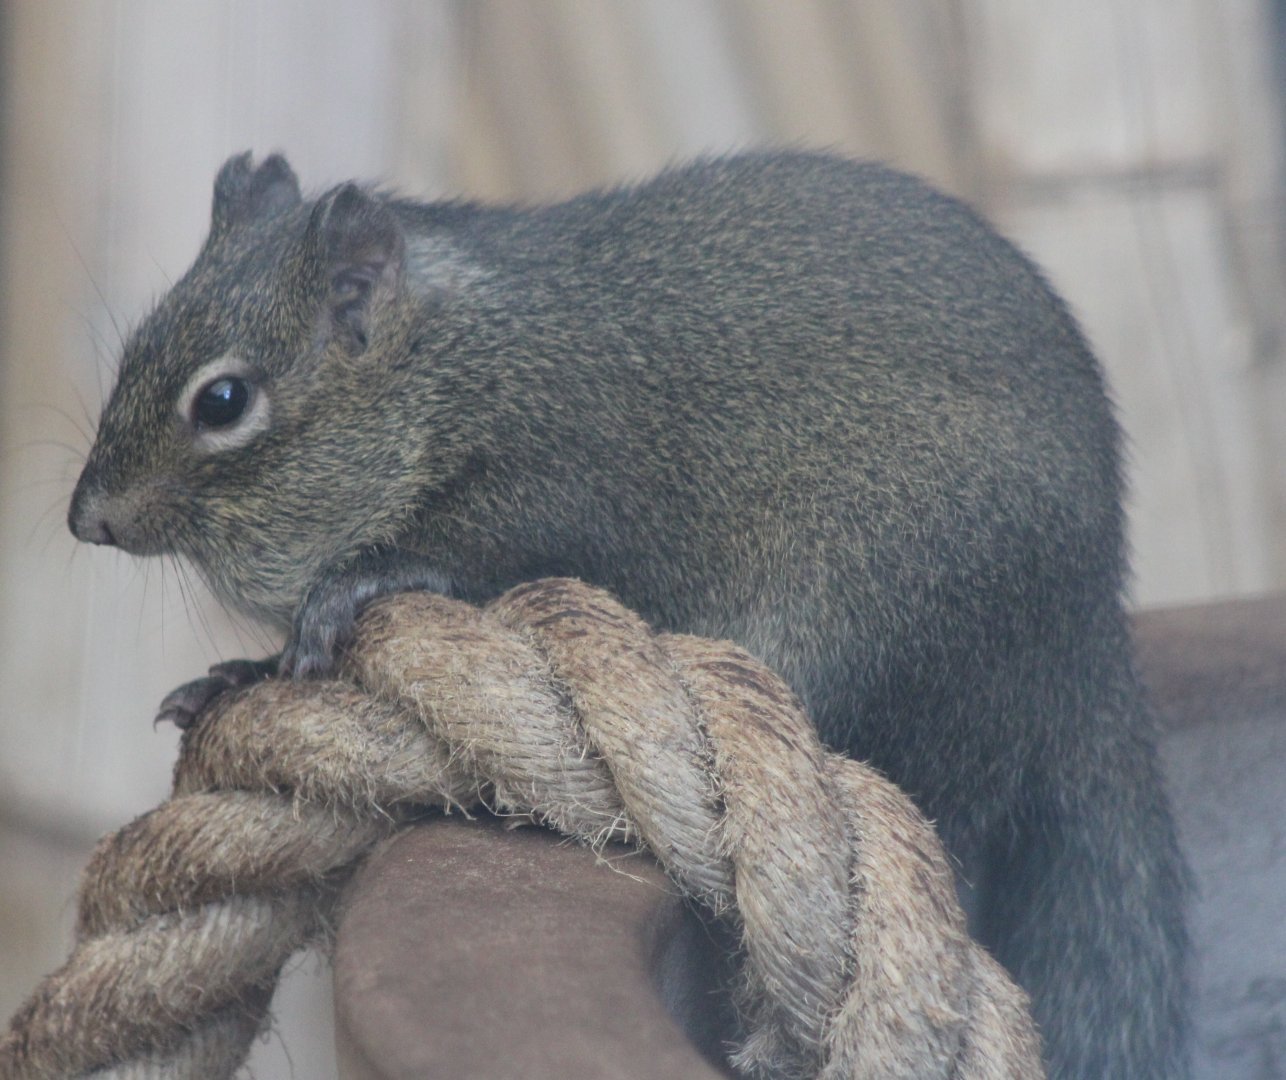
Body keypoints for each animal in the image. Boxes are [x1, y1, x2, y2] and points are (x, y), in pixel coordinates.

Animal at [69, 150, 1189, 1079]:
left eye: (222, 402)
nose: (88, 518)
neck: (449, 365)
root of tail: (1086, 650)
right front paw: (238, 675)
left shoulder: (564, 478)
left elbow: (465, 554)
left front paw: (349, 588)